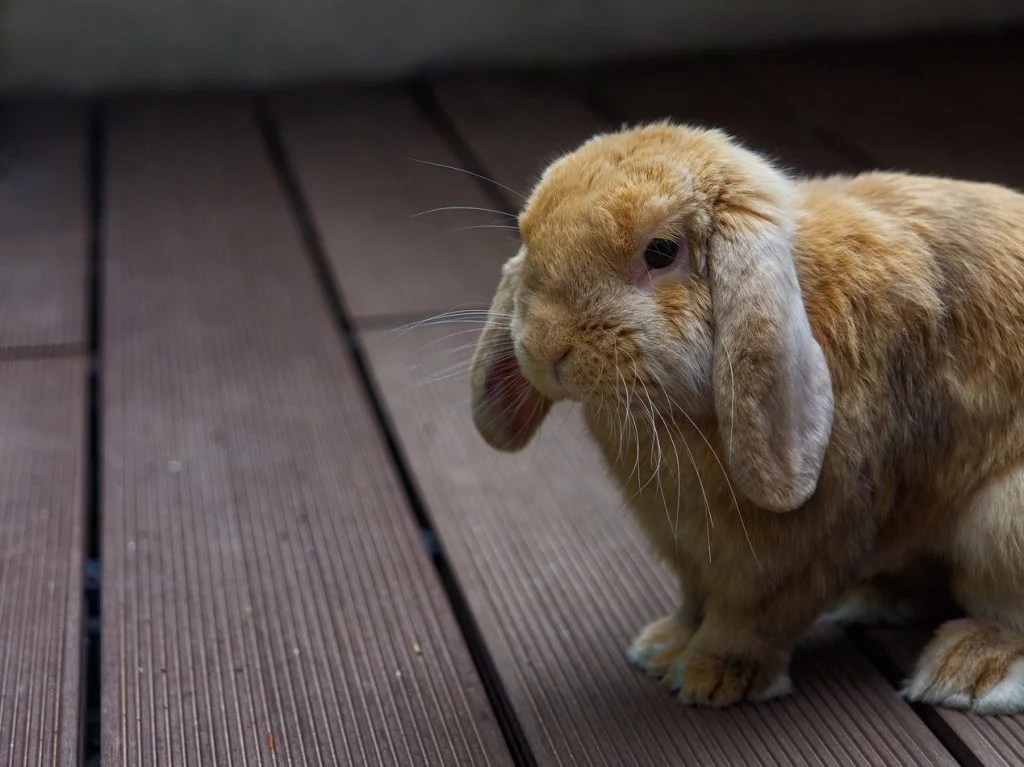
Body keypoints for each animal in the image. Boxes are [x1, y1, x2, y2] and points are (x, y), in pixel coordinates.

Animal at [469, 120, 1024, 714]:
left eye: (661, 251)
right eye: (528, 237)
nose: (545, 346)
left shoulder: (796, 546)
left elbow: (756, 616)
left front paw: (713, 676)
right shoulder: (685, 545)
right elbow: (694, 600)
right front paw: (662, 646)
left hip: (1000, 521)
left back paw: (968, 670)